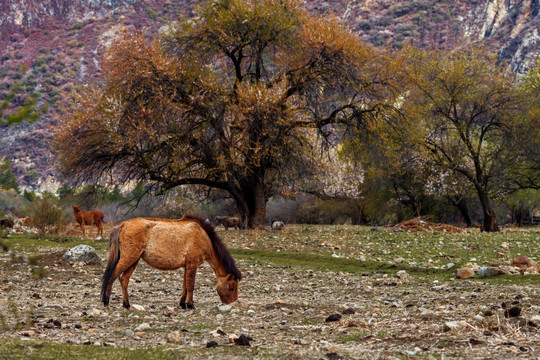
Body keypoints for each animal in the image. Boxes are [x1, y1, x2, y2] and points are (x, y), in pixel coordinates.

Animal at [100, 215, 243, 308]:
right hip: (129, 257)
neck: (203, 236)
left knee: (124, 280)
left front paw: (183, 304)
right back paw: (106, 300)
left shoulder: (187, 266)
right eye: (231, 287)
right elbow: (190, 286)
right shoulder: (192, 265)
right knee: (112, 276)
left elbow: (185, 286)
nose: (232, 303)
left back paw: (126, 304)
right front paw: (190, 304)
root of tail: (123, 224)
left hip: (133, 260)